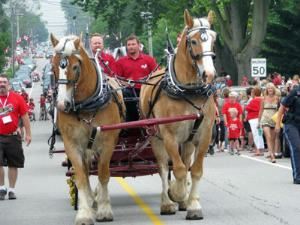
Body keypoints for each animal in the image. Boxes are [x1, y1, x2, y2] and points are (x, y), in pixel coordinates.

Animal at [50, 34, 124, 224]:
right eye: (53, 66)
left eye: (75, 67)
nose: (62, 105)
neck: (87, 105)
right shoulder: (72, 145)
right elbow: (81, 177)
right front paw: (84, 213)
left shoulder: (107, 142)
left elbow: (104, 173)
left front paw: (104, 210)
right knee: (85, 169)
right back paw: (91, 200)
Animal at [139, 9, 217, 219]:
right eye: (194, 41)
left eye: (213, 39)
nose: (209, 74)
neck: (188, 91)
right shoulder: (169, 137)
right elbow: (179, 170)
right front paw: (176, 193)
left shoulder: (204, 135)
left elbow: (195, 170)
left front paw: (193, 205)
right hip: (155, 138)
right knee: (164, 167)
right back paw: (167, 202)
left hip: (187, 141)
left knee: (183, 162)